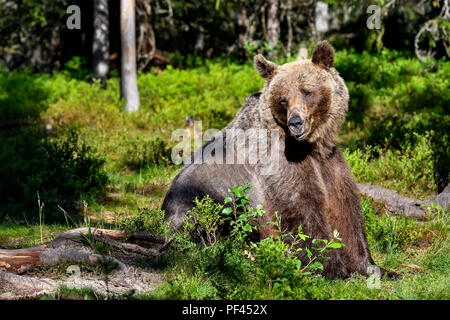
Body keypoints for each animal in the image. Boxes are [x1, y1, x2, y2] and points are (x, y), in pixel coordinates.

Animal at [162, 41, 380, 278]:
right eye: (283, 99)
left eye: (307, 91)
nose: (296, 122)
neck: (310, 146)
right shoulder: (277, 165)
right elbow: (301, 210)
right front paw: (330, 268)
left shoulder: (329, 163)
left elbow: (346, 212)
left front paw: (370, 266)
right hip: (204, 199)